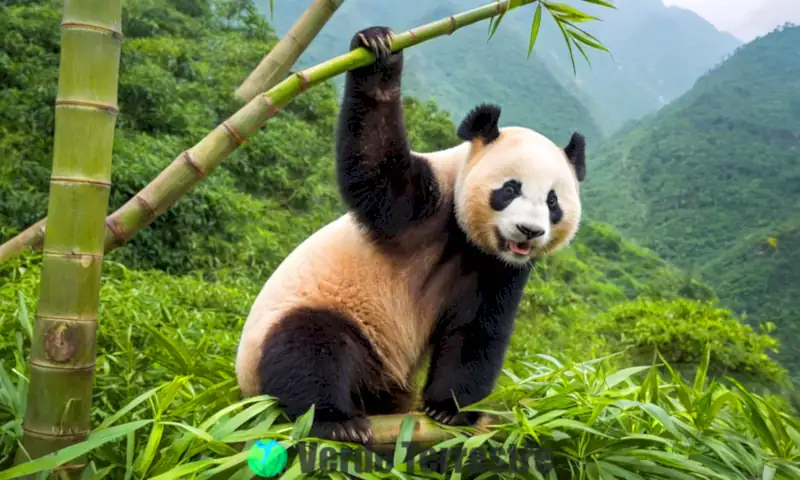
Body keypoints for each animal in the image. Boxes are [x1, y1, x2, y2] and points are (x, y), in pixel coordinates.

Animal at [234, 25, 584, 446]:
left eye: (552, 201)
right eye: (510, 189)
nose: (529, 232)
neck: (464, 236)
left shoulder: (498, 268)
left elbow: (476, 331)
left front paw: (450, 410)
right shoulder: (429, 200)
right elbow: (378, 173)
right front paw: (379, 53)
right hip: (314, 321)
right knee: (307, 347)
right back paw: (334, 420)